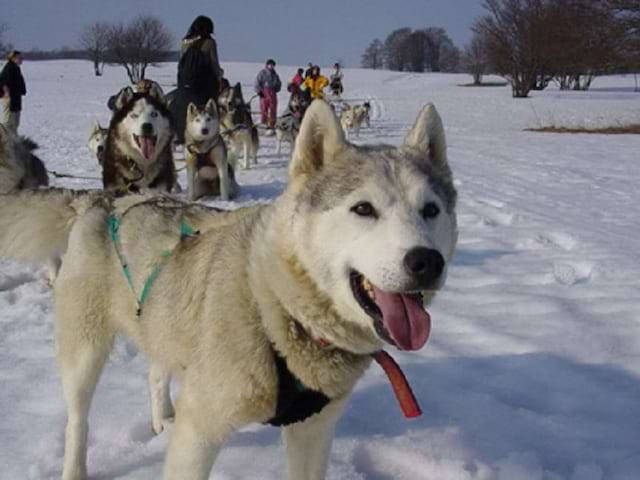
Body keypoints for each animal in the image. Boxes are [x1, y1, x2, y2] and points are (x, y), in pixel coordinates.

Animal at [0, 99, 456, 478]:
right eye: (363, 209)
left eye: (430, 210)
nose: (427, 262)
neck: (276, 309)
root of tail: (102, 199)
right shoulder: (199, 434)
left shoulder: (312, 432)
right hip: (84, 353)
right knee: (78, 422)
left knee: (156, 370)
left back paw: (163, 416)